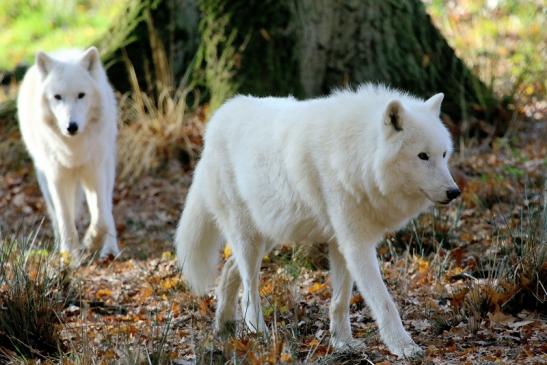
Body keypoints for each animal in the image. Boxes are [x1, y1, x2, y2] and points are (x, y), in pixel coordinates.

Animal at [17, 47, 119, 258]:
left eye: (81, 95)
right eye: (58, 97)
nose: (71, 127)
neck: (74, 151)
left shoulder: (95, 172)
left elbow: (101, 217)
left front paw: (90, 241)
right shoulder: (58, 177)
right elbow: (65, 217)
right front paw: (70, 256)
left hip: (106, 170)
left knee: (107, 210)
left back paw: (110, 250)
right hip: (44, 179)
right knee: (57, 216)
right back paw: (61, 247)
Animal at [176, 84, 462, 356]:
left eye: (444, 154)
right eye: (422, 156)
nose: (454, 192)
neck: (358, 152)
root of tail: (219, 117)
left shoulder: (341, 242)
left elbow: (340, 301)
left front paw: (342, 342)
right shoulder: (356, 244)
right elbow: (384, 303)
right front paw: (403, 346)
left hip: (268, 234)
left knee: (228, 270)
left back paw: (224, 328)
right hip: (249, 237)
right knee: (249, 289)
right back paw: (259, 334)